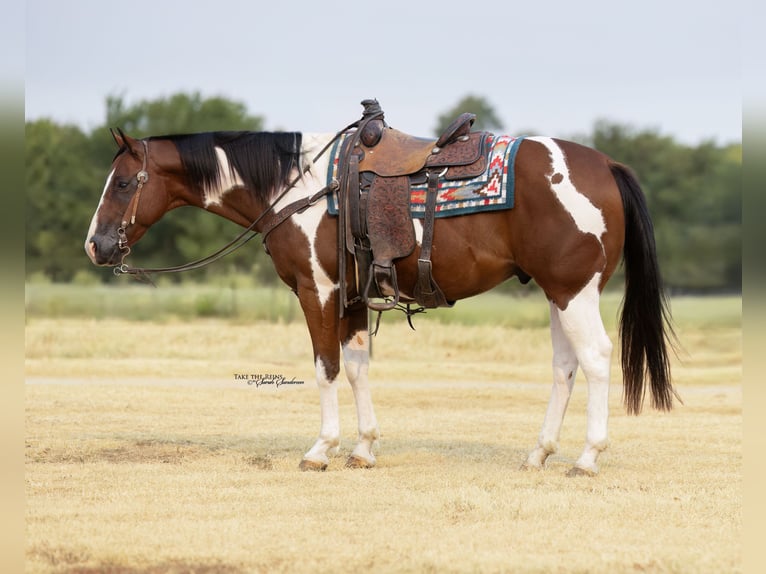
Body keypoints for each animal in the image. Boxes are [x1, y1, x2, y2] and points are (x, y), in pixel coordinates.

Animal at [84, 108, 676, 476]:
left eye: (122, 182)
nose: (96, 245)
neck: (299, 185)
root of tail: (605, 164)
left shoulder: (318, 290)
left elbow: (325, 367)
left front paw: (321, 449)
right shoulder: (350, 297)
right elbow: (356, 367)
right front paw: (363, 449)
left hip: (574, 291)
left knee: (596, 359)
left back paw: (587, 458)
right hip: (558, 293)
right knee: (564, 367)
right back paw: (539, 453)